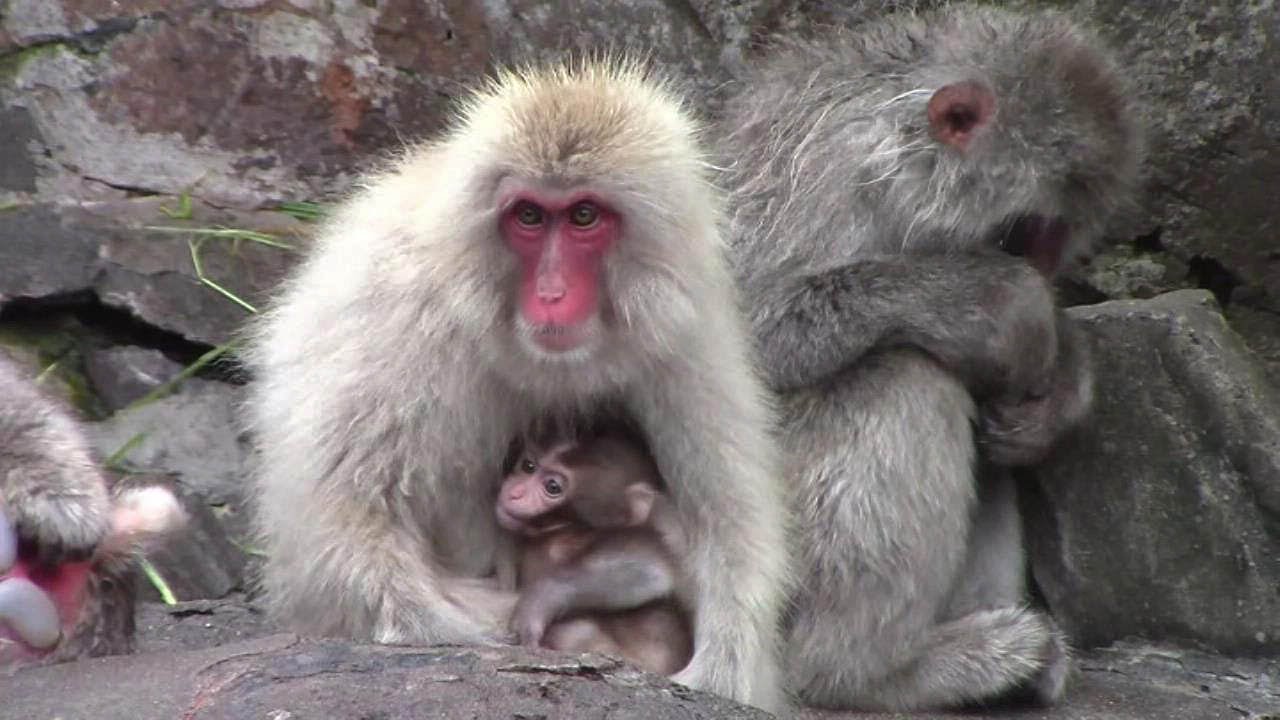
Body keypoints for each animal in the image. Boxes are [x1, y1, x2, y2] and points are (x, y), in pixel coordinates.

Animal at [495, 427, 692, 676]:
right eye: (528, 466)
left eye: (552, 487)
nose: (515, 492)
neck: (562, 530)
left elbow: (651, 568)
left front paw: (536, 606)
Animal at [715, 5, 1143, 711]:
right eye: (1019, 236)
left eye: (1053, 243)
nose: (1040, 269)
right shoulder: (828, 184)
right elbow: (738, 334)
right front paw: (1002, 301)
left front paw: (1058, 395)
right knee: (903, 373)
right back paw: (864, 671)